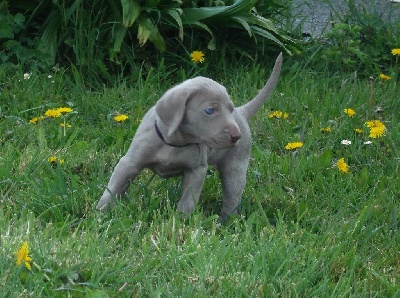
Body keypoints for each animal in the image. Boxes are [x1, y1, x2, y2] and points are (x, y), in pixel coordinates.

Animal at [97, 54, 282, 221]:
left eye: (229, 109)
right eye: (209, 110)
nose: (237, 136)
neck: (175, 143)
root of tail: (242, 113)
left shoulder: (196, 170)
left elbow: (187, 200)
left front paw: (181, 222)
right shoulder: (130, 162)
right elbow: (113, 188)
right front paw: (101, 214)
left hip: (235, 168)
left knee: (232, 198)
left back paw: (224, 223)